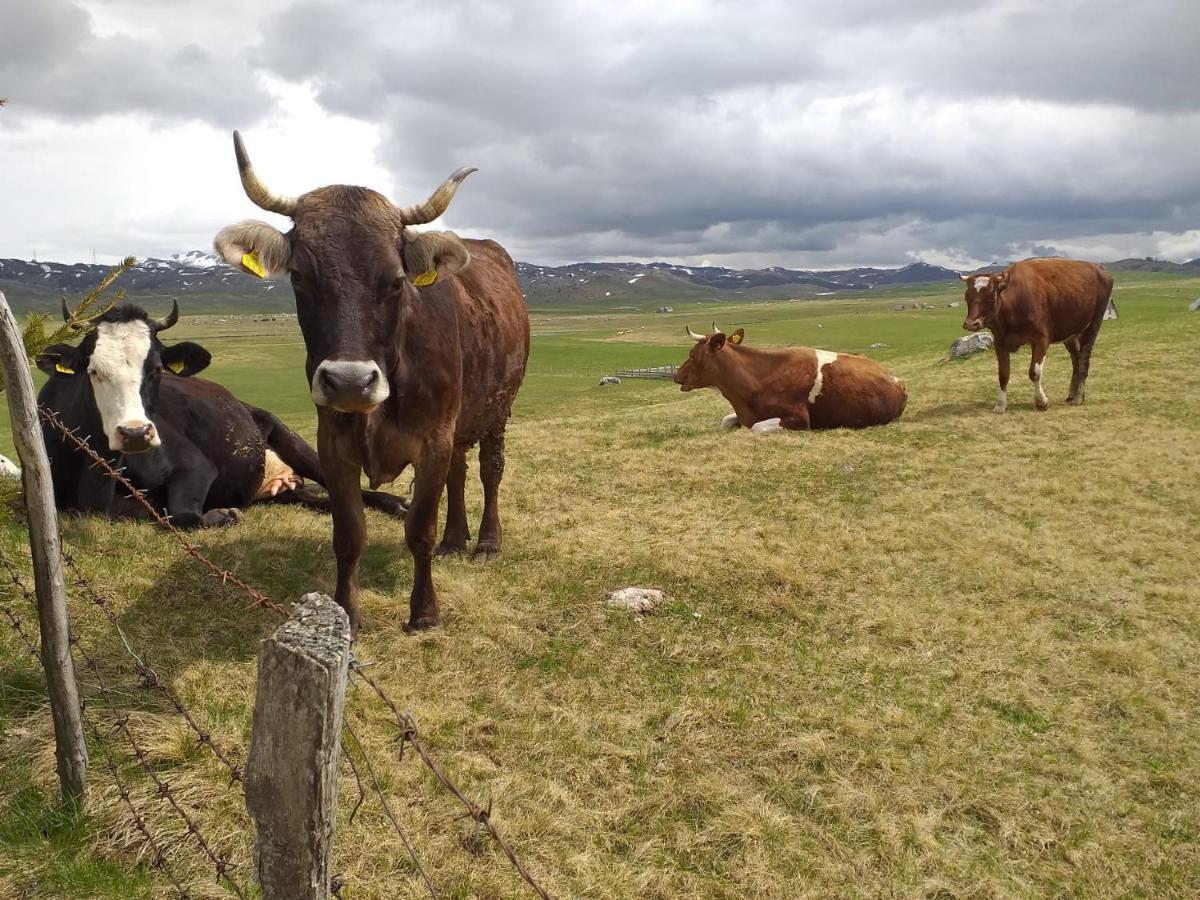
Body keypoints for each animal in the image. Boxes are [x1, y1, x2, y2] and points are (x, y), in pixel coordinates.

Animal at [37, 303, 405, 528]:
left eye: (155, 369)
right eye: (93, 371)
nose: (136, 433)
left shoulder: (196, 466)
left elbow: (181, 515)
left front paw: (224, 514)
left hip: (290, 438)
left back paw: (396, 504)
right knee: (317, 497)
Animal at [212, 133, 530, 643]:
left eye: (396, 279)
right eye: (299, 277)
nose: (349, 381)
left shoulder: (433, 439)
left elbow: (419, 528)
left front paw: (424, 613)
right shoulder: (333, 443)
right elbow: (349, 534)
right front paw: (346, 614)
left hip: (499, 408)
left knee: (490, 470)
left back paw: (485, 542)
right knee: (460, 473)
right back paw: (454, 540)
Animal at [955, 256, 1113, 415]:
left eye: (991, 298)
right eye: (967, 297)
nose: (970, 323)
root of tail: (1100, 269)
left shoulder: (1041, 339)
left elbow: (1034, 372)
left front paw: (1042, 402)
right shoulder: (999, 342)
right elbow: (1003, 374)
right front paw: (1000, 405)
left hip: (1093, 323)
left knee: (1084, 359)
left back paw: (1078, 397)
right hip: (1070, 333)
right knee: (1076, 359)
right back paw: (1072, 394)